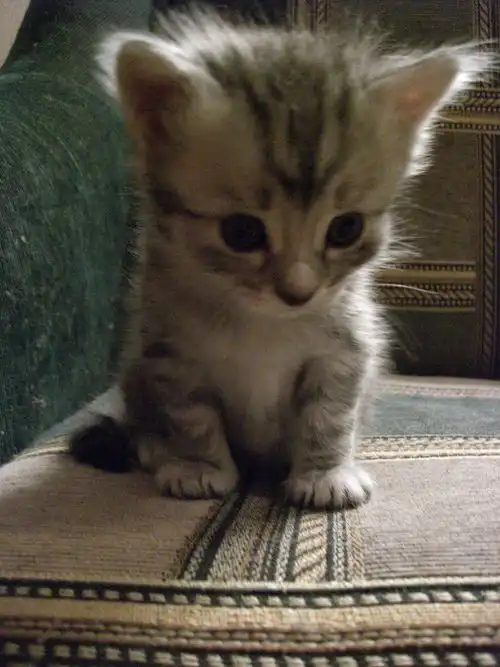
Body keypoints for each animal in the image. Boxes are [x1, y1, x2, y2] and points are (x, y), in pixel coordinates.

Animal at [69, 5, 493, 509]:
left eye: (346, 228)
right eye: (242, 232)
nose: (298, 292)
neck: (263, 323)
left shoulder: (347, 347)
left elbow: (329, 415)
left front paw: (325, 473)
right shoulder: (168, 351)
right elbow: (190, 414)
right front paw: (198, 465)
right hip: (136, 369)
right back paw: (156, 448)